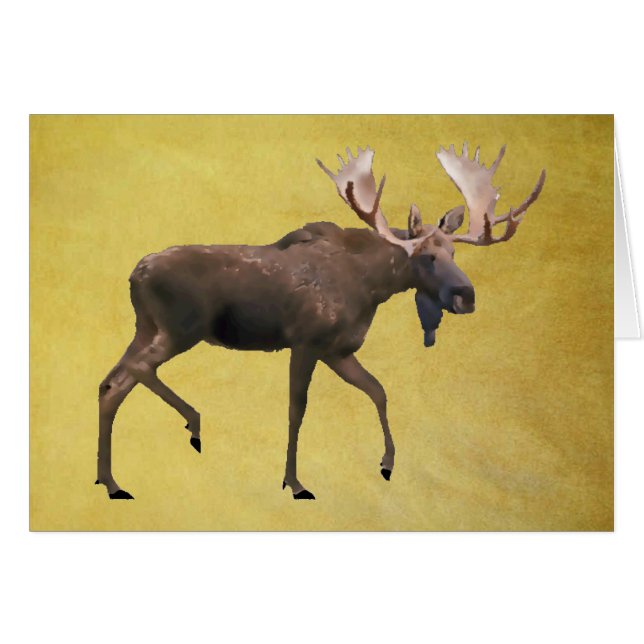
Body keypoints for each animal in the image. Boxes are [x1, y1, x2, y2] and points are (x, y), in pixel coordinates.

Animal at [96, 143, 546, 500]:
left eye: (454, 253)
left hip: (147, 327)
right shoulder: (306, 342)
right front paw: (294, 482)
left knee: (111, 383)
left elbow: (379, 391)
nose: (465, 296)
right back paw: (191, 424)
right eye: (427, 256)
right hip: (180, 329)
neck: (371, 287)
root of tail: (135, 274)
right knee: (132, 373)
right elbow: (298, 409)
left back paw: (111, 480)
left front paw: (387, 462)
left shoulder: (338, 350)